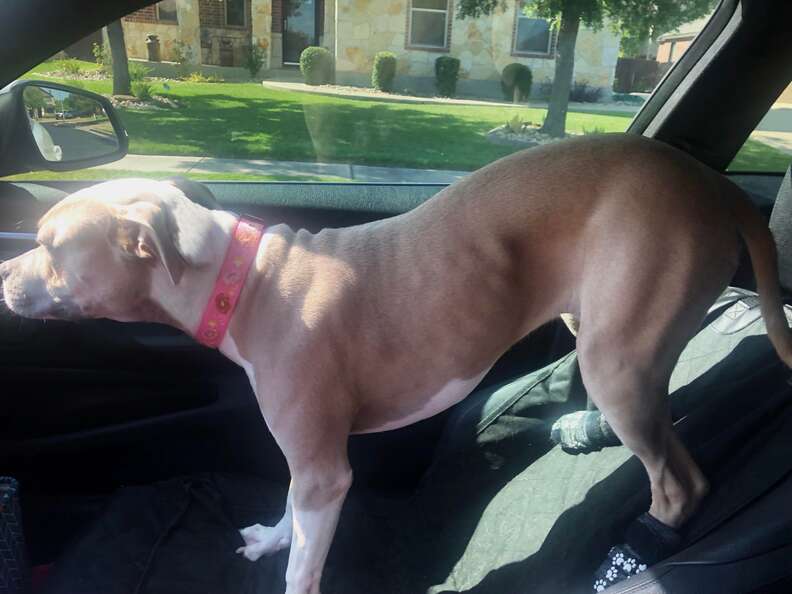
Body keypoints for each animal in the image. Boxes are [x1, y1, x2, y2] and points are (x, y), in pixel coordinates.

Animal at [3, 134, 788, 592]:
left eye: (51, 246)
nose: (3, 272)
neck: (242, 280)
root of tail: (710, 182)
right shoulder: (309, 465)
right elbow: (289, 512)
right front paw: (272, 538)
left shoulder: (326, 472)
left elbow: (304, 566)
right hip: (600, 331)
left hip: (617, 363)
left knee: (679, 482)